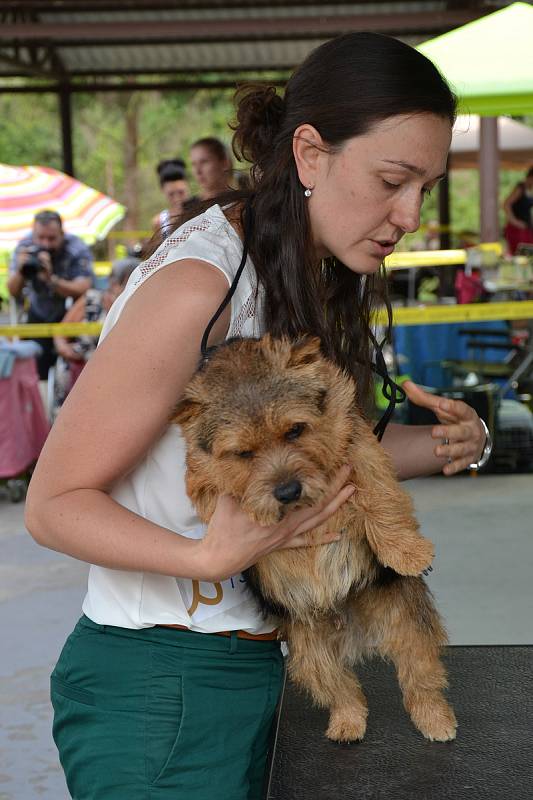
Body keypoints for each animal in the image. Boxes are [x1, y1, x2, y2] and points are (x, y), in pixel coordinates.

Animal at [174, 332, 458, 744]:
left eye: (295, 430)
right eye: (243, 453)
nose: (287, 492)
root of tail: (347, 616)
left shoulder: (356, 443)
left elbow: (379, 493)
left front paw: (405, 551)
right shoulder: (199, 478)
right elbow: (218, 497)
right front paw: (257, 512)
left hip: (407, 626)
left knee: (420, 679)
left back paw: (436, 720)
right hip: (310, 656)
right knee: (343, 691)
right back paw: (347, 724)